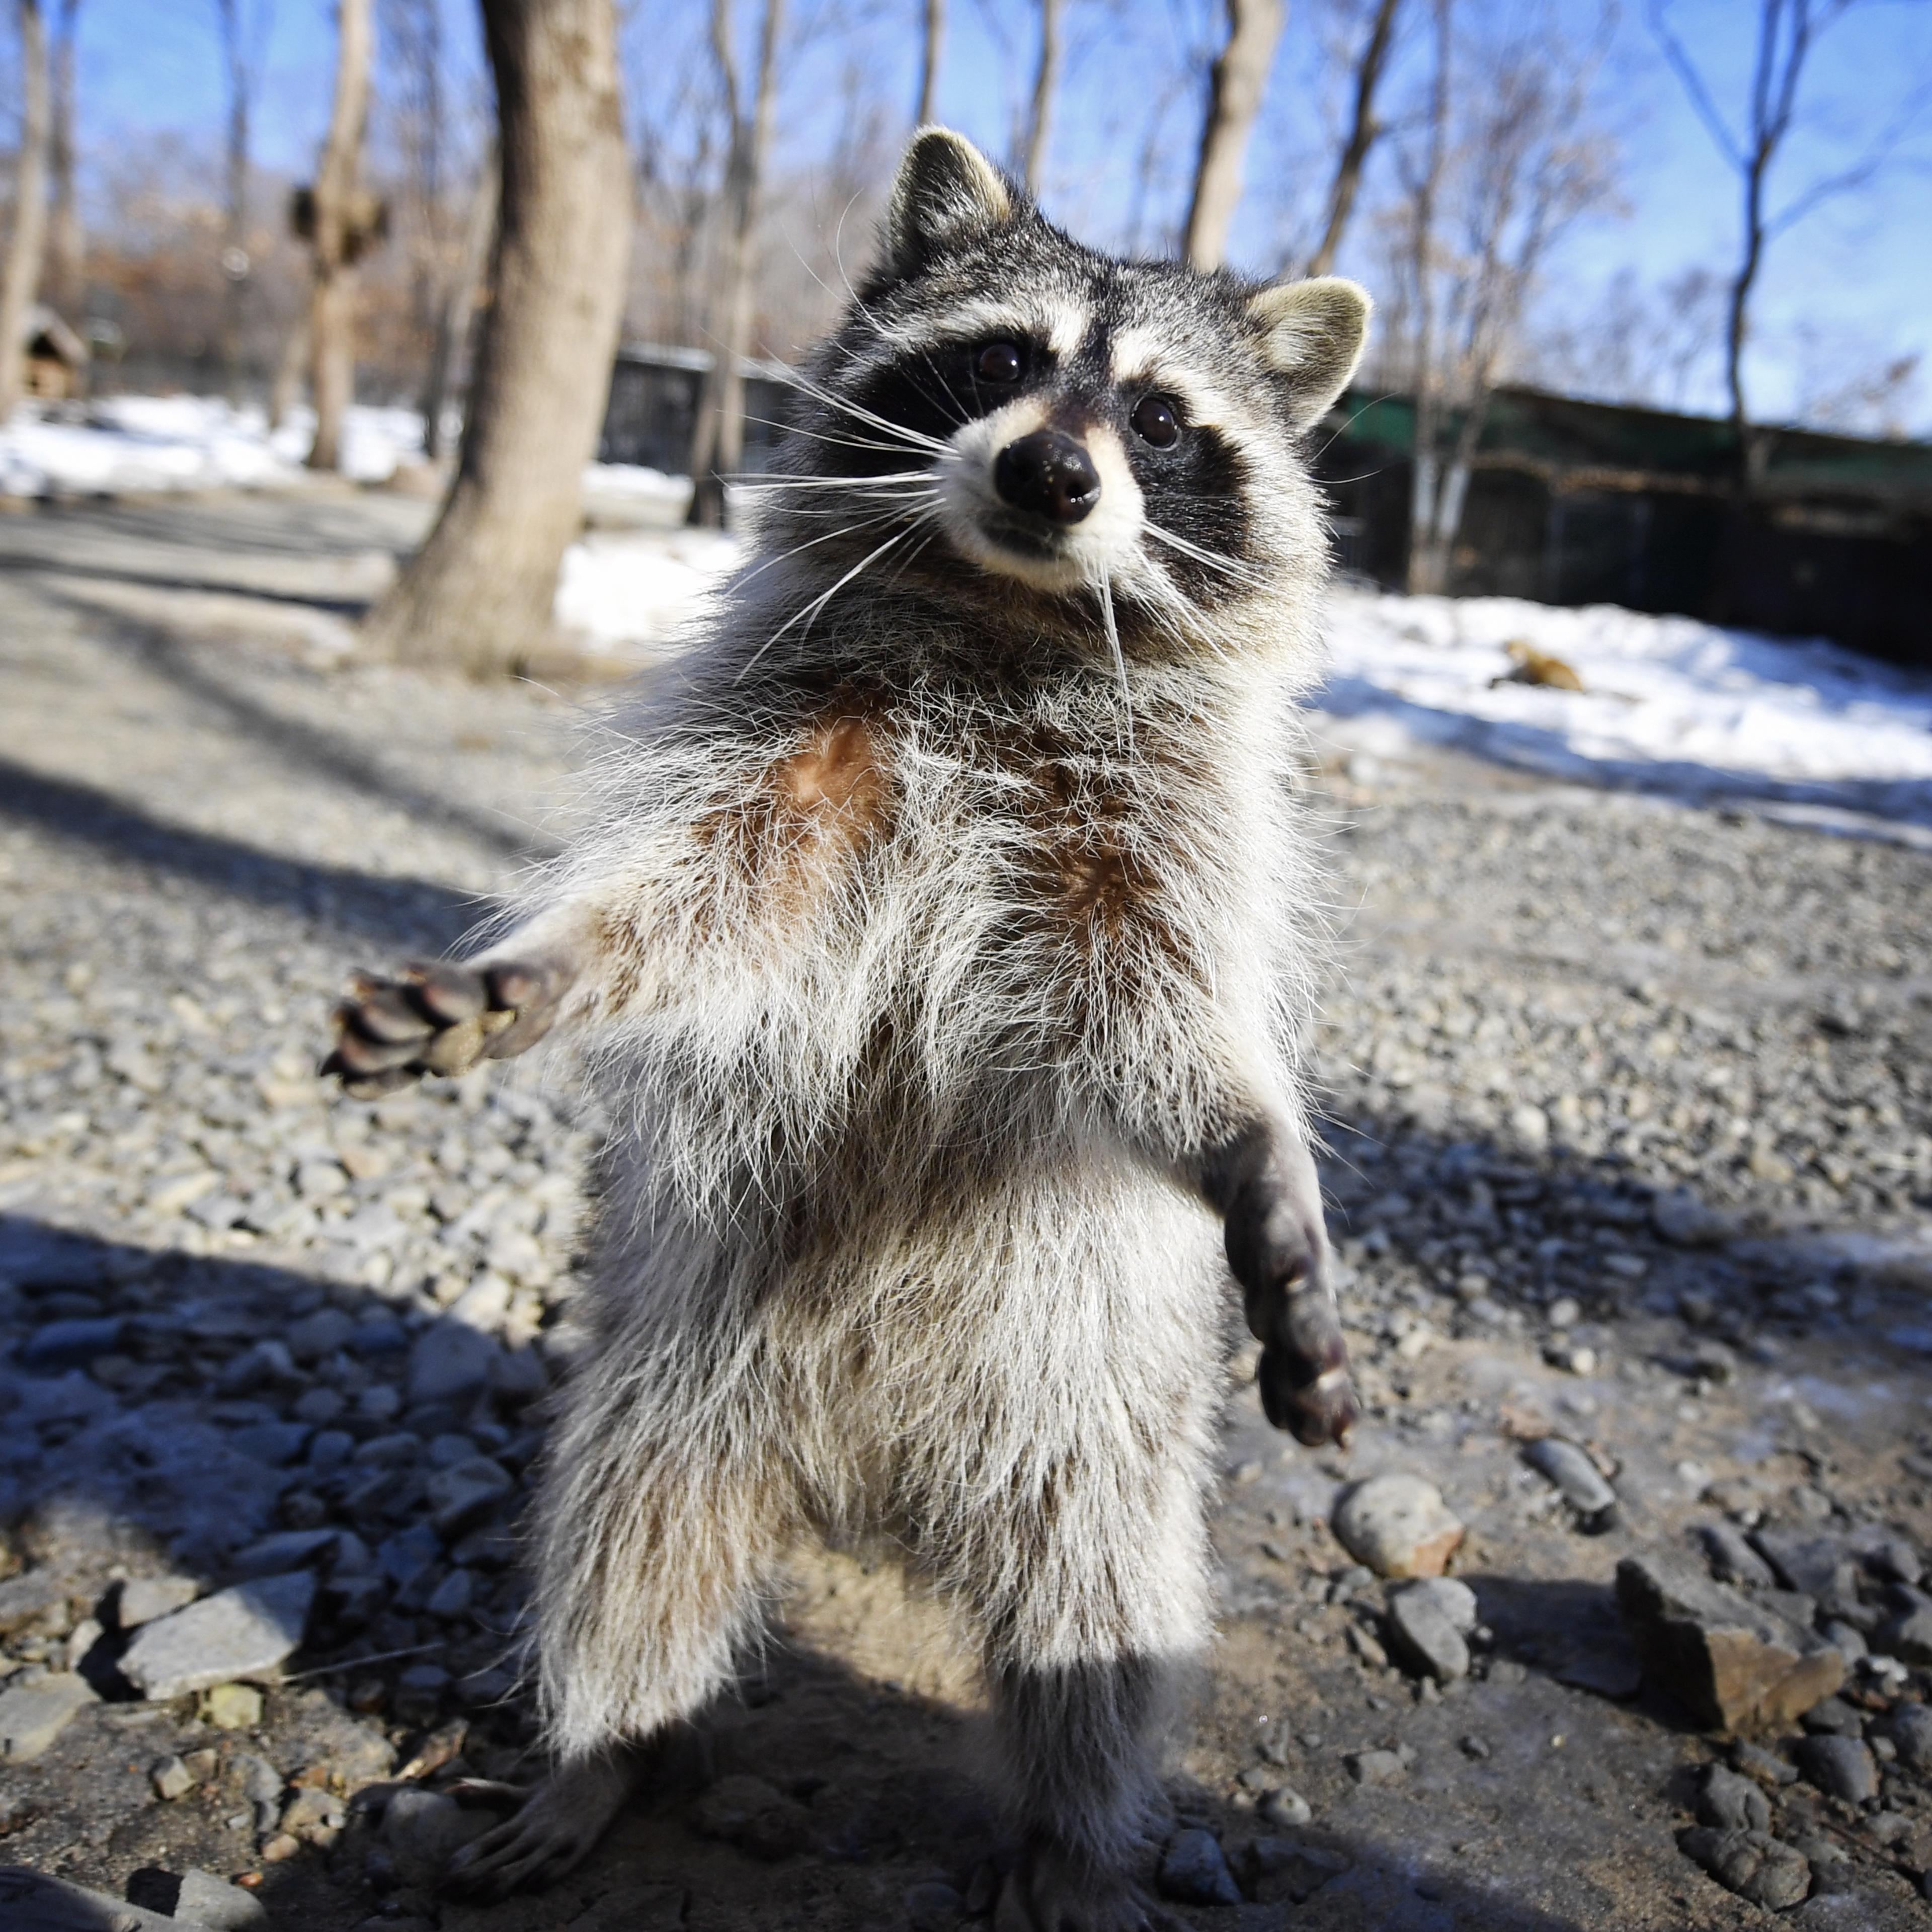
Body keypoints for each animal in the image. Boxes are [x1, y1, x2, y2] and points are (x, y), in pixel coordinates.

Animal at [325, 129, 1369, 1930]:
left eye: (1162, 420)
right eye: (1002, 361)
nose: (1052, 475)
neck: (1008, 624)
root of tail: (870, 1478)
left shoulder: (1149, 849)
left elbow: (1160, 1048)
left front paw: (1258, 1157)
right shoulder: (792, 758)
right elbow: (689, 911)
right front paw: (544, 970)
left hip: (1090, 1420)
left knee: (1100, 1628)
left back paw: (1070, 1837)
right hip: (679, 1370)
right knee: (622, 1548)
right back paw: (598, 1754)